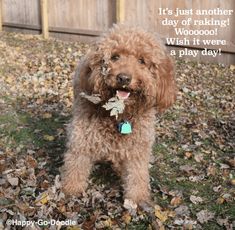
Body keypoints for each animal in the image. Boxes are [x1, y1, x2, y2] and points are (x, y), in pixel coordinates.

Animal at [61, 25, 177, 207]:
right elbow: (76, 164)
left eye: (142, 61)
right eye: (114, 57)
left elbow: (137, 174)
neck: (120, 114)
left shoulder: (138, 148)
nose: (123, 78)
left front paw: (136, 199)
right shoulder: (82, 138)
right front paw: (71, 189)